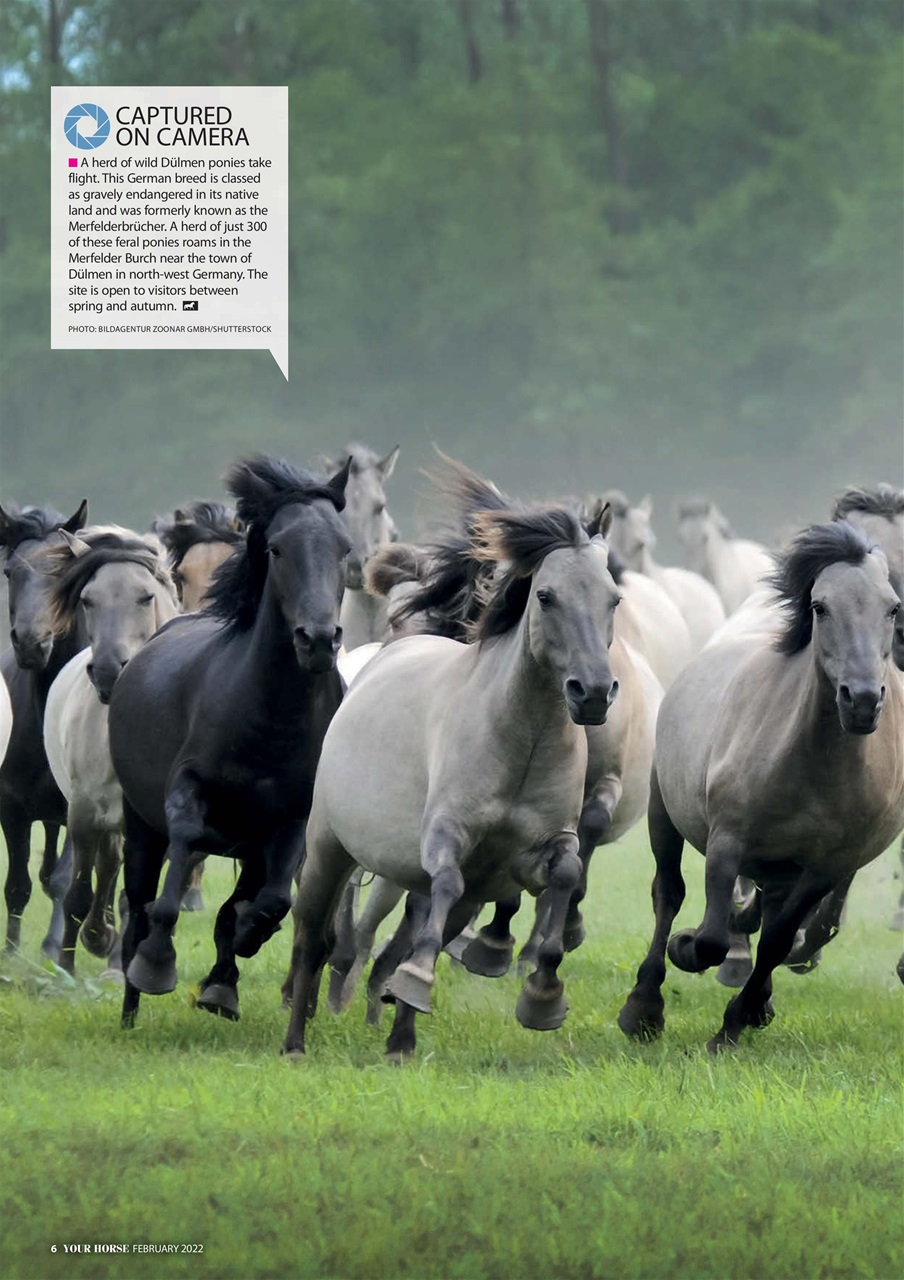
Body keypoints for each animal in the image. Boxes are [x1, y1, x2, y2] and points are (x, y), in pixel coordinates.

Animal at [42, 528, 179, 973]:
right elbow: (77, 896)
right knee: (104, 868)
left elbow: (135, 898)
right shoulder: (84, 814)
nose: (105, 672)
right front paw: (67, 969)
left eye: (146, 597)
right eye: (88, 599)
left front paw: (120, 963)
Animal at [108, 454, 352, 1029]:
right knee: (138, 904)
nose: (317, 640)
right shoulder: (187, 789)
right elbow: (175, 875)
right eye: (278, 548)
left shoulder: (288, 822)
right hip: (140, 824)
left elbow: (269, 904)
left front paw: (229, 969)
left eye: (345, 548)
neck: (267, 721)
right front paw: (157, 964)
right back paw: (130, 1007)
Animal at [283, 475, 622, 1061]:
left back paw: (398, 1039)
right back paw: (296, 1041)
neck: (520, 743)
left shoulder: (536, 851)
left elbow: (565, 876)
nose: (594, 693)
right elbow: (441, 887)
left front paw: (542, 996)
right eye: (546, 596)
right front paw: (418, 983)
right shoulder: (446, 835)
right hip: (328, 847)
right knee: (311, 938)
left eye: (614, 598)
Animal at [618, 520, 904, 1052]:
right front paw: (686, 950)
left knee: (769, 914)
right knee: (667, 892)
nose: (860, 701)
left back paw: (757, 1005)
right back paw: (644, 1007)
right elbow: (711, 936)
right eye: (820, 606)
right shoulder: (727, 840)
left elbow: (777, 941)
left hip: (781, 867)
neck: (810, 764)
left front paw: (734, 1022)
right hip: (662, 811)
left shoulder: (824, 868)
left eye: (892, 606)